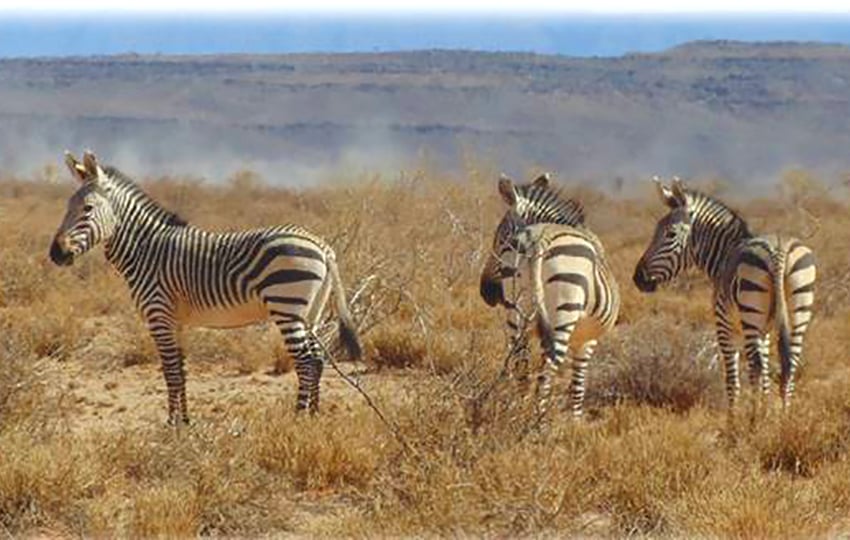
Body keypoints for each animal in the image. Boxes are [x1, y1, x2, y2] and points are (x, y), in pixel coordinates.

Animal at [48, 150, 362, 424]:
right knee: (318, 358)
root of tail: (322, 246)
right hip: (312, 313)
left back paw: (297, 418)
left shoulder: (158, 315)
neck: (146, 249)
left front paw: (172, 424)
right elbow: (180, 369)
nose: (56, 254)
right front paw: (185, 421)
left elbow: (170, 371)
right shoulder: (175, 320)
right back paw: (314, 416)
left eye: (87, 209)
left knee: (306, 361)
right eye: (66, 207)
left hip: (287, 308)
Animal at [476, 174, 616, 418]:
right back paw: (538, 421)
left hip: (516, 311)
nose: (487, 293)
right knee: (546, 372)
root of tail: (537, 239)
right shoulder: (587, 340)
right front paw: (575, 420)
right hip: (565, 309)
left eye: (499, 239)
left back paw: (519, 412)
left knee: (521, 364)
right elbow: (578, 385)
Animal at [632, 177, 812, 410]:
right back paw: (784, 416)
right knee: (789, 365)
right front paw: (765, 410)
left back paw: (754, 419)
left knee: (755, 366)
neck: (725, 255)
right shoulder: (764, 330)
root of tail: (779, 251)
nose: (638, 278)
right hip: (798, 311)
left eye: (670, 234)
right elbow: (765, 377)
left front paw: (734, 418)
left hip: (750, 316)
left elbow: (733, 379)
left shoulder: (725, 326)